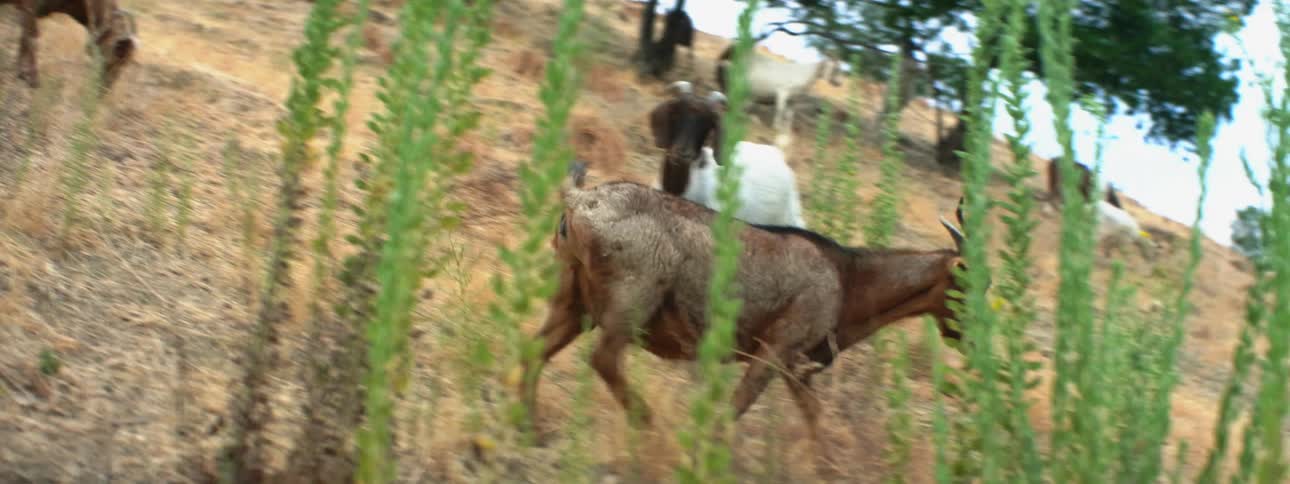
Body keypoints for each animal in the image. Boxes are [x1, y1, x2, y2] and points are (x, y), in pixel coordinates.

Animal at [4, 0, 138, 90]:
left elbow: (24, 39)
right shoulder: (29, 8)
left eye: (126, 64)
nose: (104, 90)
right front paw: (33, 80)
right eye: (116, 53)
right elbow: (31, 40)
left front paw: (21, 74)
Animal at [519, 162, 973, 464]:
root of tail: (580, 200)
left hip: (572, 302)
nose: (964, 337)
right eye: (965, 283)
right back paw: (650, 427)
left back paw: (529, 429)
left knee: (536, 351)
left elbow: (814, 416)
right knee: (604, 359)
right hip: (631, 303)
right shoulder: (775, 350)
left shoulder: (795, 365)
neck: (847, 277)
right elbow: (736, 409)